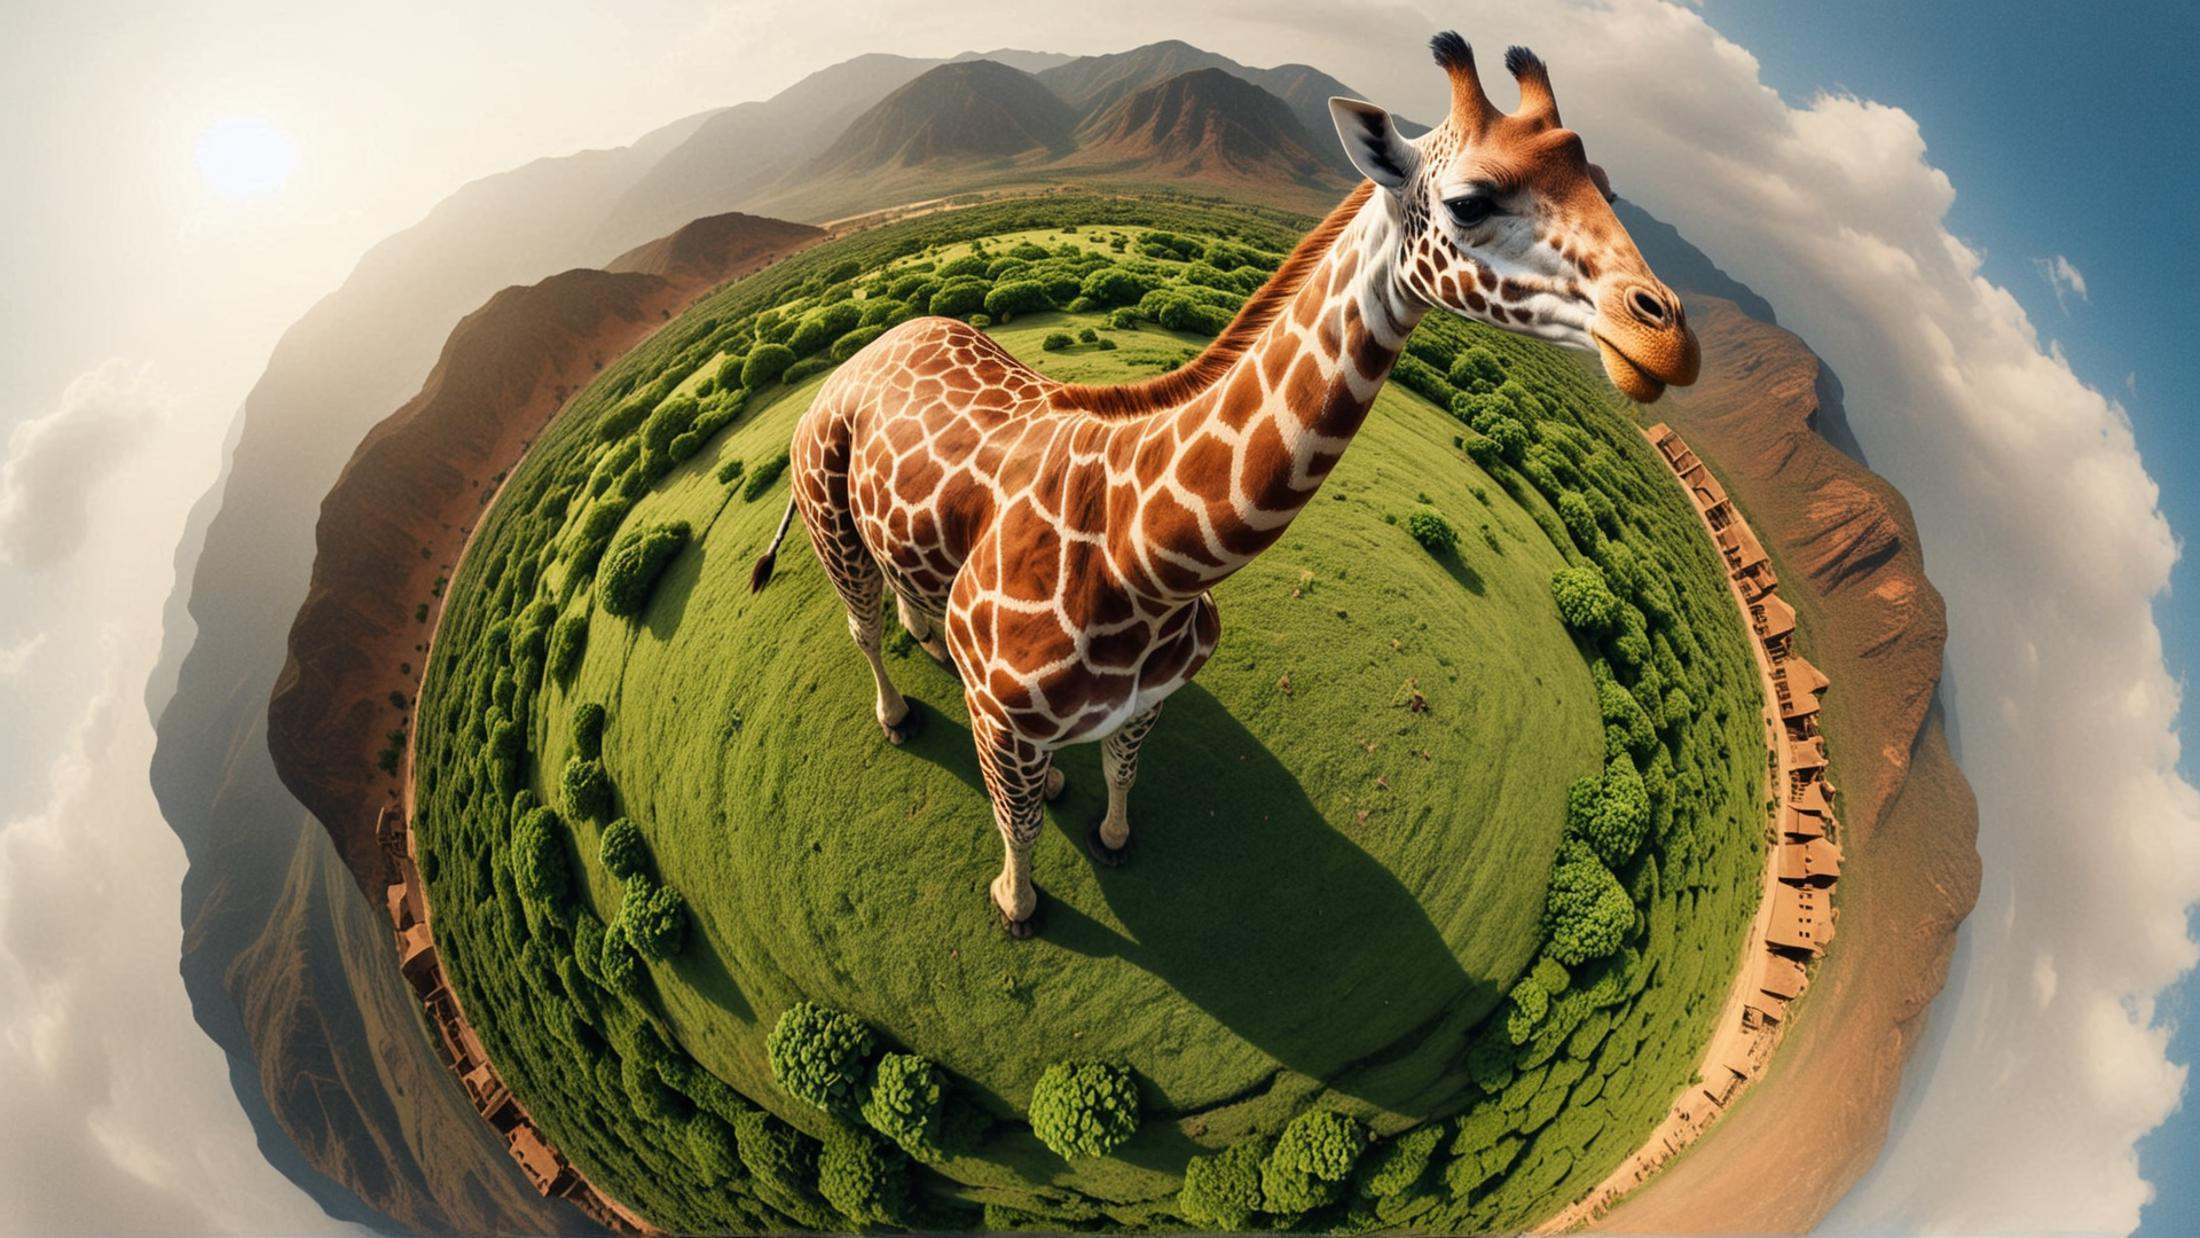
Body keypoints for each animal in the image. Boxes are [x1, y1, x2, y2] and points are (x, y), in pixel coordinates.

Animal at [749, 32, 1700, 937]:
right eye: (1469, 201)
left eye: (1605, 185)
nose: (1668, 339)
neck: (1143, 565)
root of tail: (859, 356)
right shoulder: (1008, 706)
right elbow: (1014, 826)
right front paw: (1017, 905)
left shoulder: (1147, 698)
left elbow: (1120, 774)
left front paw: (1109, 833)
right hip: (827, 515)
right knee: (864, 626)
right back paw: (898, 712)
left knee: (913, 604)